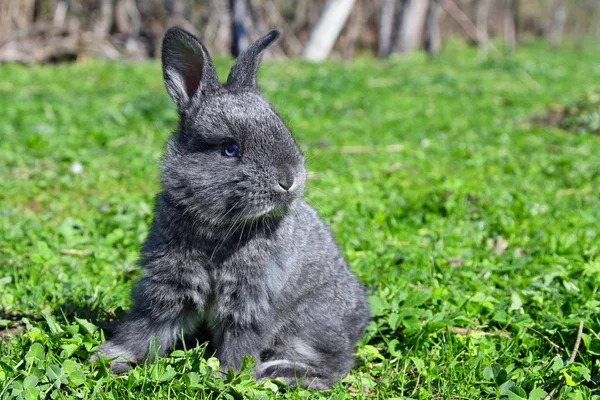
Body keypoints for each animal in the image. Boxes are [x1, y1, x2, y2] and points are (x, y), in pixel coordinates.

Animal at [94, 26, 370, 390]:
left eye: (284, 130)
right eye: (230, 148)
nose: (289, 180)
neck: (218, 228)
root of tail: (360, 317)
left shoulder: (251, 300)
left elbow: (241, 342)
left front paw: (228, 377)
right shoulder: (167, 286)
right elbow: (145, 328)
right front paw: (111, 359)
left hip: (311, 323)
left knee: (335, 363)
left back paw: (280, 372)